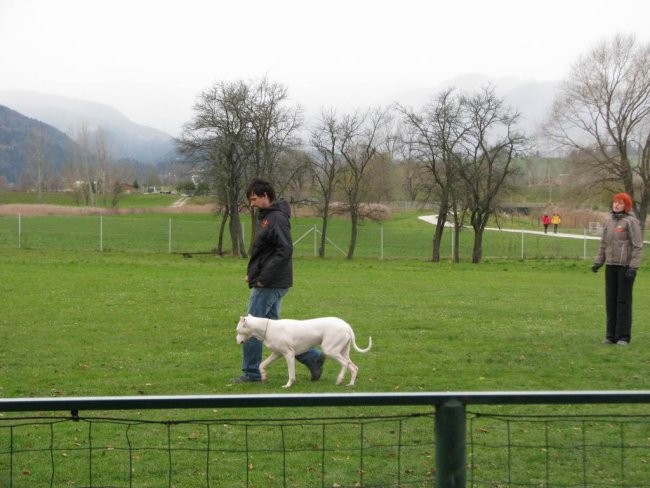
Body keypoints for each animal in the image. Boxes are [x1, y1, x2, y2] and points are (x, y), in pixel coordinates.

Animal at [237, 316, 370, 388]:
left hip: (331, 350)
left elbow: (291, 373)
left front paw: (288, 385)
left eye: (238, 330)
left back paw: (340, 380)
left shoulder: (289, 354)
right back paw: (349, 383)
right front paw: (264, 377)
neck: (268, 328)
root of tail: (346, 325)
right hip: (342, 351)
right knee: (353, 366)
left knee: (346, 364)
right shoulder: (277, 354)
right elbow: (262, 364)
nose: (237, 341)